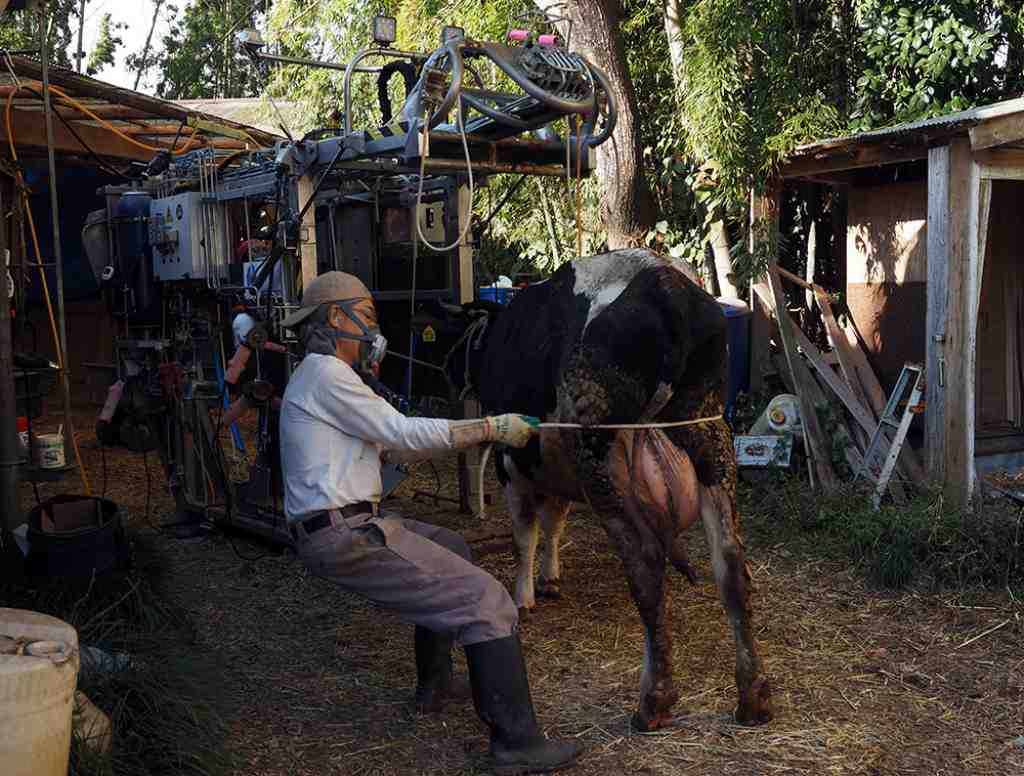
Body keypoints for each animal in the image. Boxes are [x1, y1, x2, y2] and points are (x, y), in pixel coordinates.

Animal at [436, 250, 770, 737]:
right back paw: (753, 696)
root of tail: (664, 282)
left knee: (646, 562)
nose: (445, 369)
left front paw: (525, 594)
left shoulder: (512, 463)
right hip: (709, 436)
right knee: (730, 561)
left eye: (458, 337)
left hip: (600, 455)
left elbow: (525, 534)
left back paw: (654, 702)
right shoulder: (553, 468)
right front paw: (551, 577)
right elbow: (555, 521)